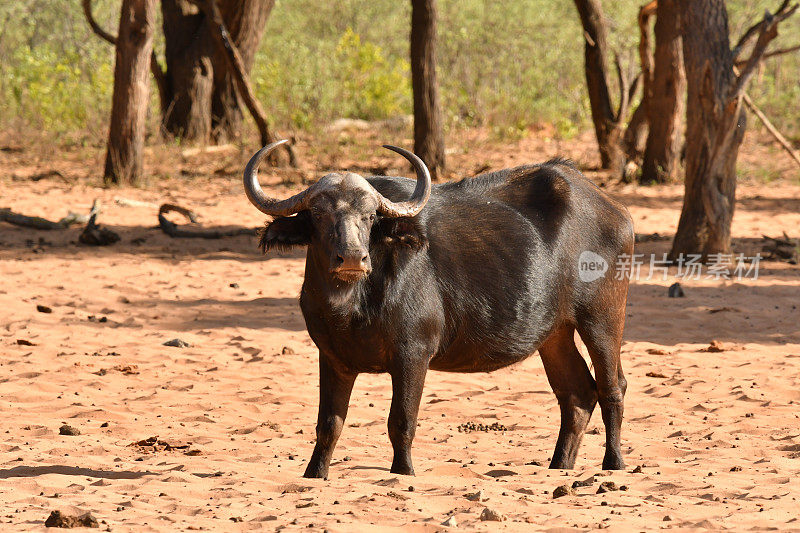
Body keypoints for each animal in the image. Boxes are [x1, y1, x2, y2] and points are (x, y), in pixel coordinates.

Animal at [242, 139, 632, 476]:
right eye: (319, 213)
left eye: (369, 216)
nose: (352, 257)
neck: (353, 307)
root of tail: (613, 208)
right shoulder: (333, 357)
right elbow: (329, 424)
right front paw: (315, 473)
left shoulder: (413, 354)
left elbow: (401, 421)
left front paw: (404, 471)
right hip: (555, 333)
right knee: (577, 394)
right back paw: (559, 465)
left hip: (603, 316)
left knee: (612, 386)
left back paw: (613, 462)